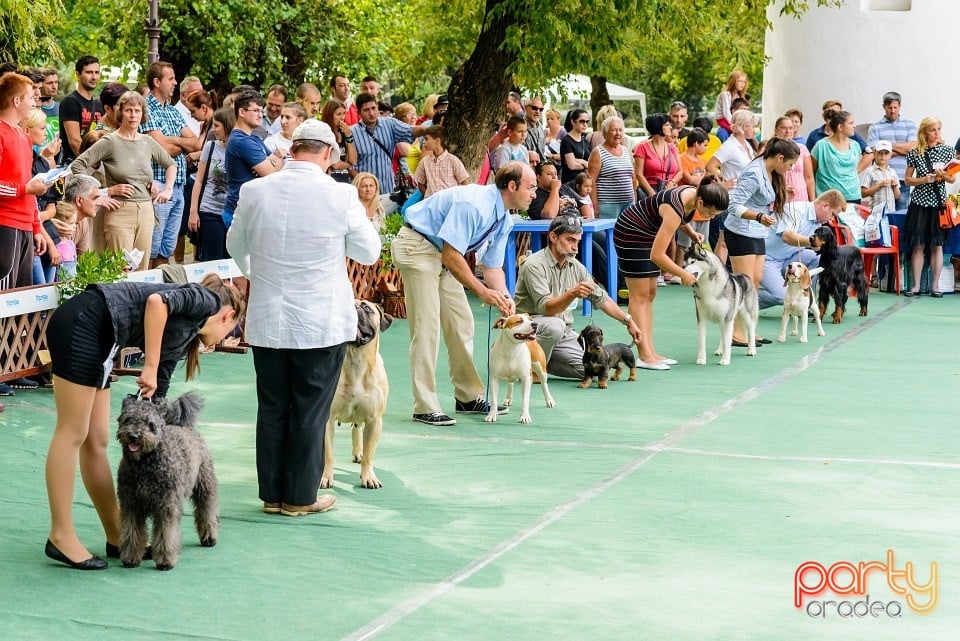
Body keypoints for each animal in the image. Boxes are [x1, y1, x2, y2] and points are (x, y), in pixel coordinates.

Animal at [114, 390, 218, 568]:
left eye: (149, 423)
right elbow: (132, 531)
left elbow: (165, 534)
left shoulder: (166, 506)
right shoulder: (131, 505)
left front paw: (165, 561)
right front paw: (130, 557)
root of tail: (183, 425)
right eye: (127, 419)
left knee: (207, 511)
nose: (134, 436)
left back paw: (209, 537)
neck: (144, 465)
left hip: (204, 486)